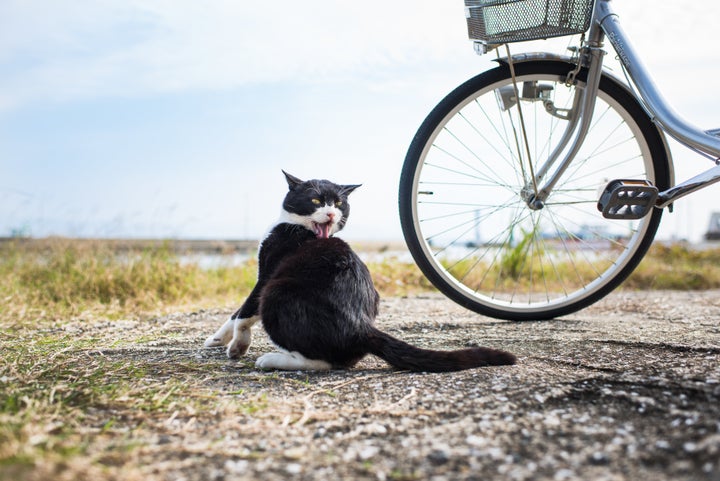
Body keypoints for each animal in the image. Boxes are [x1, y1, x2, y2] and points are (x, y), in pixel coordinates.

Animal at [204, 171, 516, 370]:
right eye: (316, 201)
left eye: (339, 202)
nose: (331, 213)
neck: (302, 229)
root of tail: (360, 325)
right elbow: (238, 312)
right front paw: (220, 340)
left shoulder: (267, 273)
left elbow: (244, 312)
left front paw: (235, 344)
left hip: (277, 292)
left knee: (323, 362)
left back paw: (272, 360)